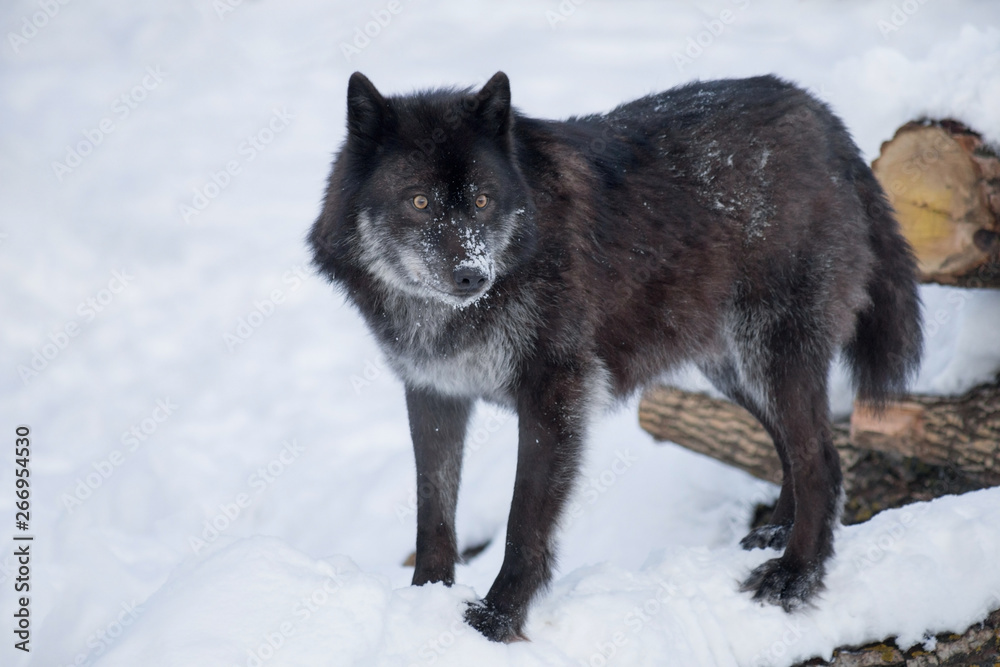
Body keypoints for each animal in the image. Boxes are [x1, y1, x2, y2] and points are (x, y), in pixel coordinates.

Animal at [306, 72, 920, 640]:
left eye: (481, 199)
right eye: (420, 201)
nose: (472, 275)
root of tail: (821, 115)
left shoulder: (554, 394)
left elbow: (523, 523)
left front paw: (497, 620)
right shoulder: (434, 392)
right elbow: (433, 514)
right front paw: (423, 601)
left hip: (770, 352)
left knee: (823, 458)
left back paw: (795, 575)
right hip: (732, 368)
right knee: (791, 447)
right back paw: (775, 535)